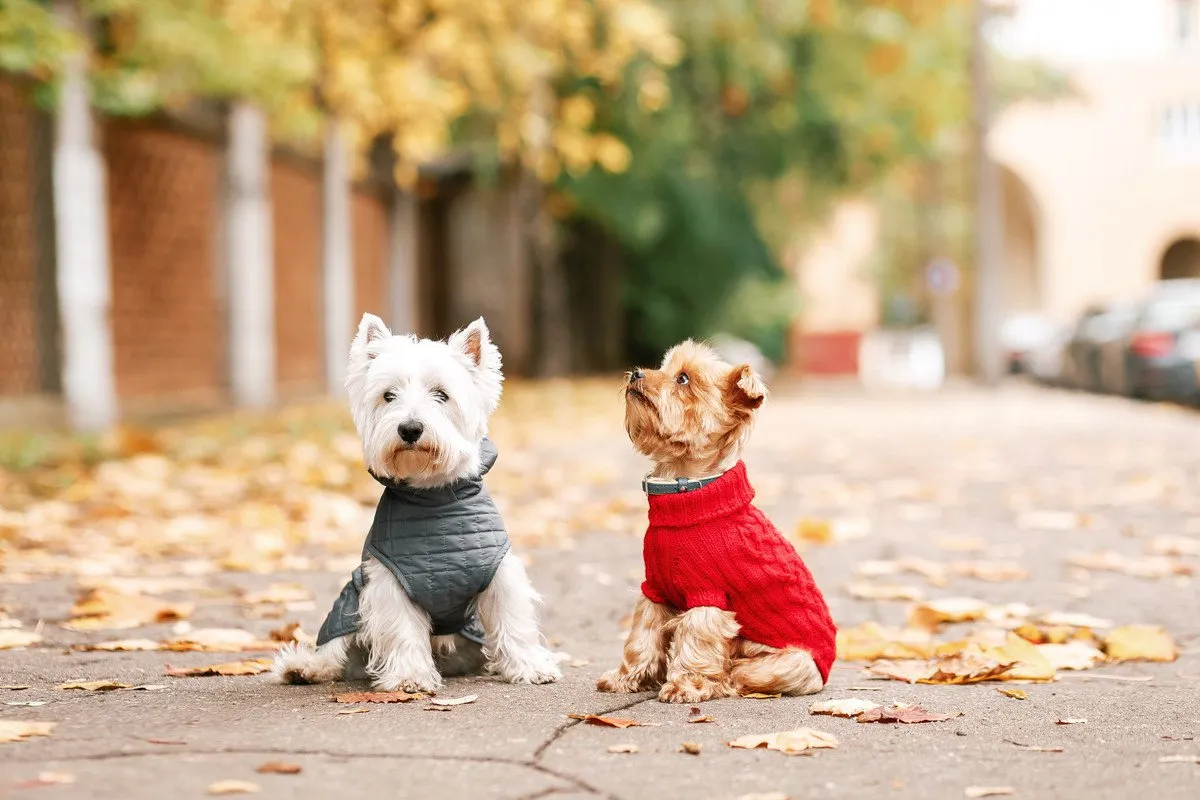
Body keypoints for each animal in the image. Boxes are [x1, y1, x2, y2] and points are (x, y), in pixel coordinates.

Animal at [274, 316, 564, 690]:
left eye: (442, 394)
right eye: (388, 396)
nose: (410, 429)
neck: (434, 500)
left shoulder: (499, 572)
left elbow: (512, 620)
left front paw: (530, 667)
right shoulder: (389, 581)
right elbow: (402, 629)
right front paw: (409, 676)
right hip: (349, 600)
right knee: (334, 647)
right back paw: (305, 667)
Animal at [597, 340, 835, 705]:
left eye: (682, 379)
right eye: (662, 367)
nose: (636, 373)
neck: (685, 491)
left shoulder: (708, 596)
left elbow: (695, 641)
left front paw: (683, 685)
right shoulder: (655, 590)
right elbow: (642, 635)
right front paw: (627, 678)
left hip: (788, 663)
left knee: (739, 673)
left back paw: (721, 680)